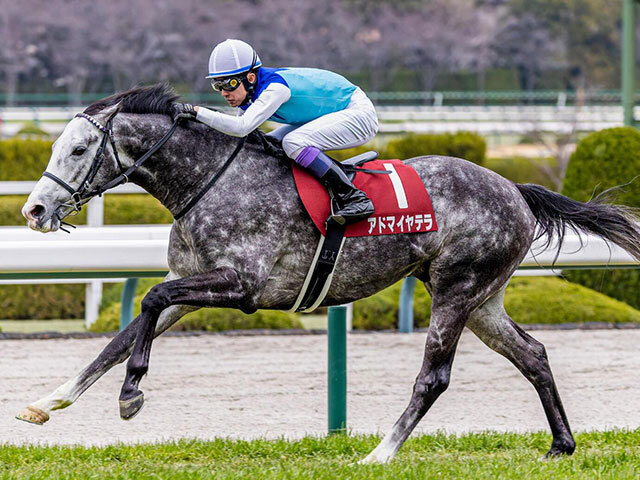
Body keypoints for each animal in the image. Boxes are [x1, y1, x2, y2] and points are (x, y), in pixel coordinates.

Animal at [18, 84, 640, 463]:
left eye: (78, 150)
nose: (34, 210)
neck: (210, 179)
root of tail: (513, 188)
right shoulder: (194, 286)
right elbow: (122, 335)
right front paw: (48, 403)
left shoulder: (240, 285)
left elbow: (148, 301)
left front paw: (131, 395)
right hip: (482, 298)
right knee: (532, 354)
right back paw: (561, 444)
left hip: (456, 289)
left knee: (434, 377)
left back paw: (381, 453)